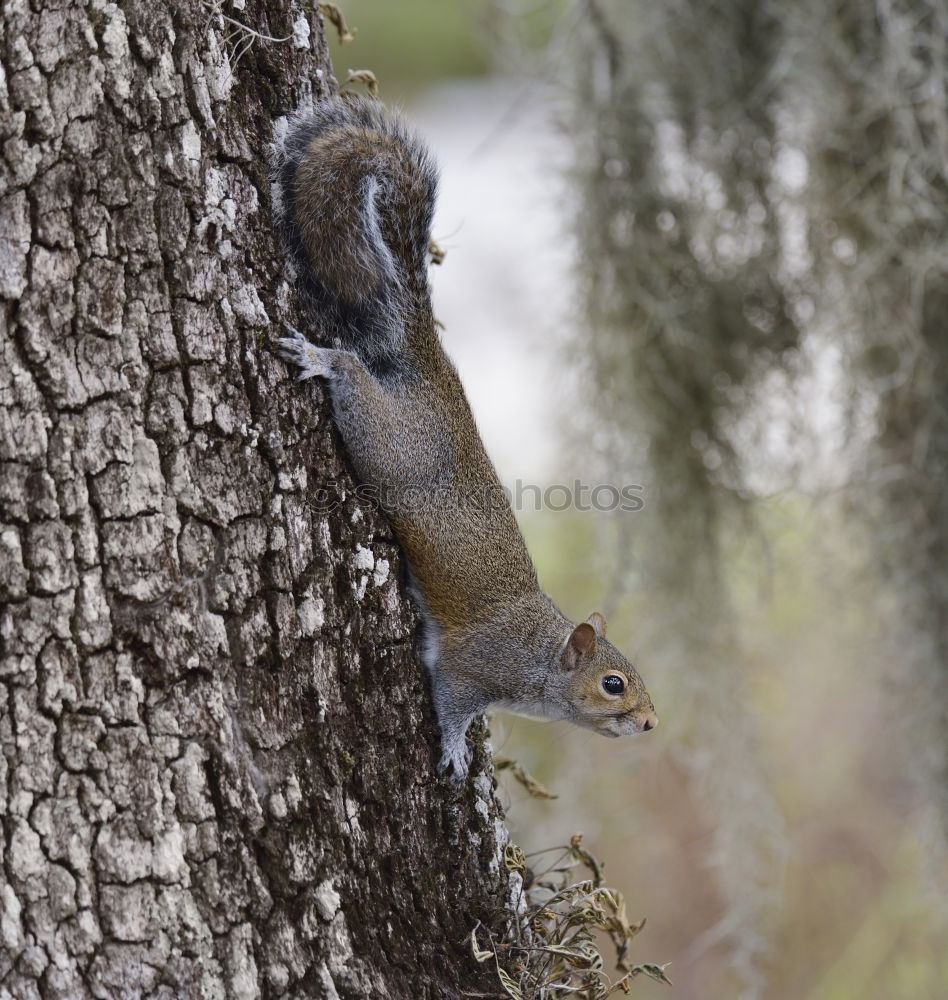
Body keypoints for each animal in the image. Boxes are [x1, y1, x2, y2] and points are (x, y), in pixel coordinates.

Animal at [274, 95, 656, 780]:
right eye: (613, 683)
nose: (649, 722)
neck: (538, 655)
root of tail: (432, 368)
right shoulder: (470, 668)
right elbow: (451, 700)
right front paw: (455, 751)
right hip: (389, 441)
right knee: (353, 380)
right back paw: (324, 359)